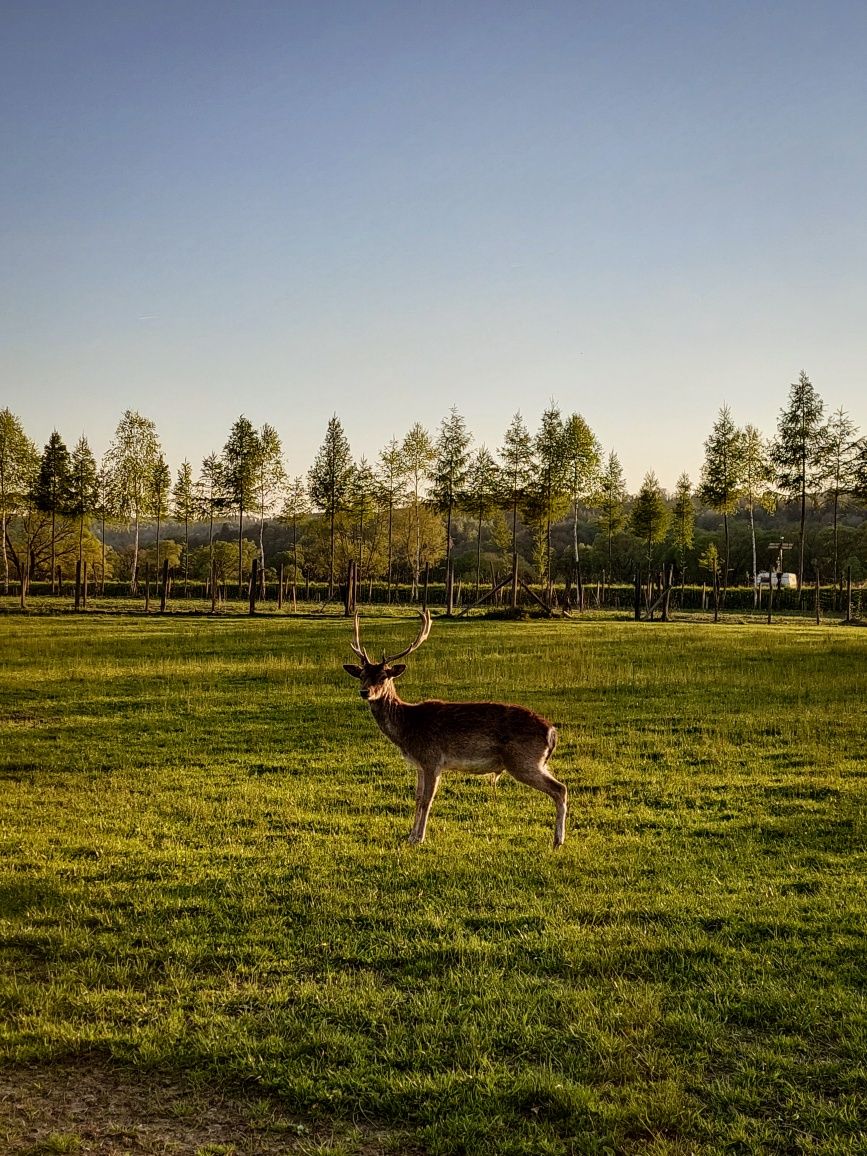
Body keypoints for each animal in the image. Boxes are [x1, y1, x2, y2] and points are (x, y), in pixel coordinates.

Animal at [342, 610, 573, 846]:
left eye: (383, 677)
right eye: (362, 675)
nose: (364, 692)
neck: (408, 728)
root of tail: (552, 732)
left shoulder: (432, 759)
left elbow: (427, 800)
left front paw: (419, 838)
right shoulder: (419, 764)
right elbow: (417, 798)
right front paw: (410, 835)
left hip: (523, 761)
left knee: (560, 789)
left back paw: (558, 840)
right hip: (534, 762)